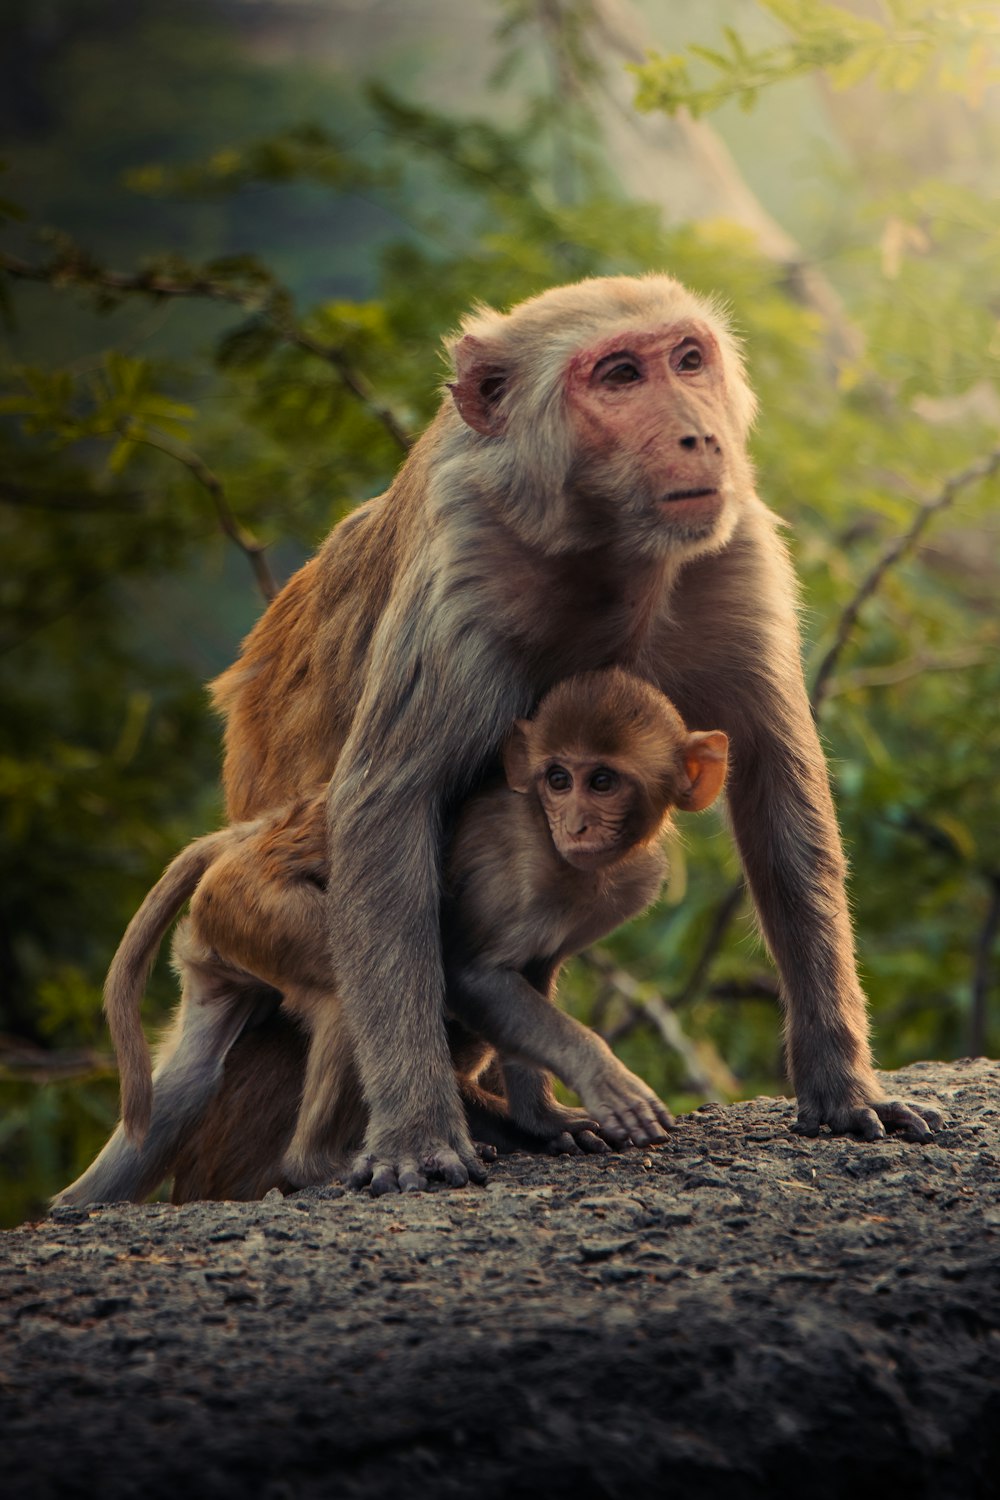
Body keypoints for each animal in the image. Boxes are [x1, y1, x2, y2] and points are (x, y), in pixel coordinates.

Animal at [54, 669, 728, 1206]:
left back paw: (78, 1204)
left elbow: (530, 978)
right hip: (261, 906)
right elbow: (469, 974)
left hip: (220, 937)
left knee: (187, 1080)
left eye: (603, 782)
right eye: (558, 779)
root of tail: (239, 845)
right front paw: (601, 1079)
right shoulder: (514, 863)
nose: (577, 823)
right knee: (349, 990)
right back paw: (320, 1164)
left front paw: (542, 1118)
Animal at [206, 273, 941, 1194]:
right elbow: (388, 810)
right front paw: (417, 1131)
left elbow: (778, 787)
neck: (605, 543)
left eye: (688, 359)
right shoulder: (464, 568)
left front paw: (843, 1086)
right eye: (621, 375)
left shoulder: (731, 546)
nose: (700, 434)